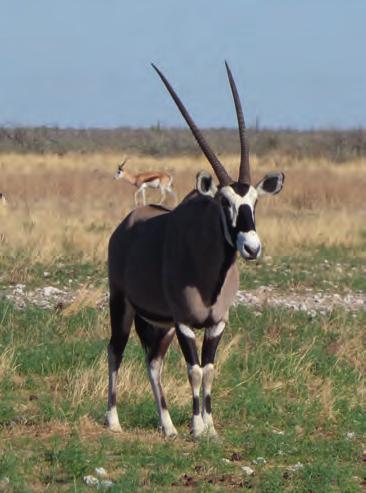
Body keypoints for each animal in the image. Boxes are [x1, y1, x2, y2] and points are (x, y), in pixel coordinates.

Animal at [106, 62, 284, 438]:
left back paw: (167, 425)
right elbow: (194, 370)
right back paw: (113, 420)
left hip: (159, 323)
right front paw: (198, 427)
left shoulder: (216, 322)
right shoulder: (186, 323)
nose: (252, 247)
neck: (208, 274)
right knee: (115, 350)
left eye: (254, 202)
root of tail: (126, 226)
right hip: (122, 304)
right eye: (224, 202)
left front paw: (208, 426)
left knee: (153, 362)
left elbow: (209, 370)